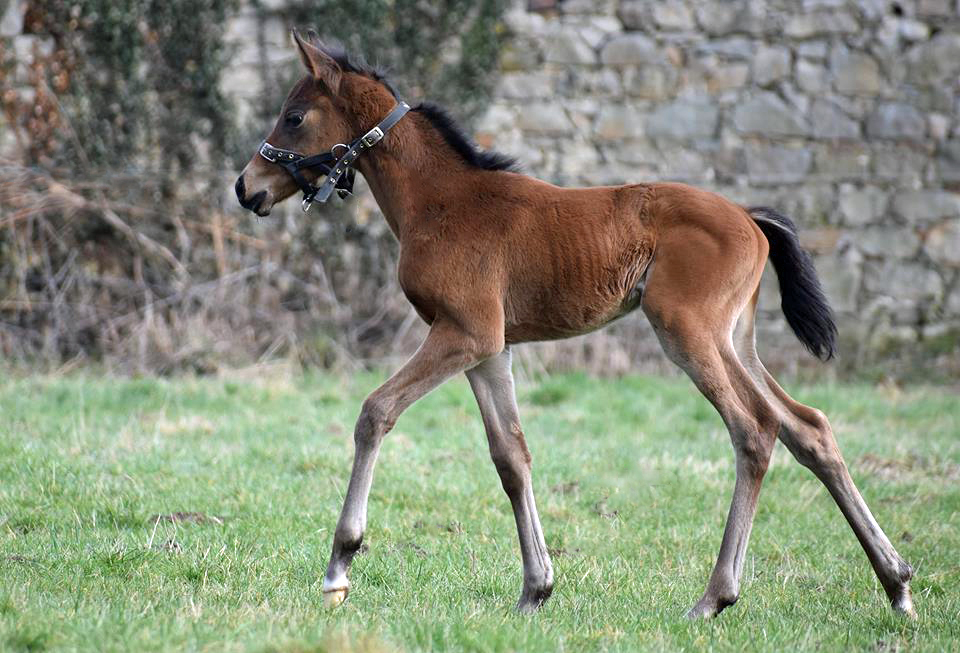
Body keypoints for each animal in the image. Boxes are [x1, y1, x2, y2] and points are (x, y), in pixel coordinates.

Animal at [238, 33, 916, 620]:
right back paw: (898, 585)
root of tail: (751, 219)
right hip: (736, 340)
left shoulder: (463, 334)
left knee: (755, 431)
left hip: (688, 332)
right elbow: (511, 456)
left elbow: (375, 411)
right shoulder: (490, 348)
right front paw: (535, 590)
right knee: (809, 428)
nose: (246, 187)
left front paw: (339, 568)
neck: (440, 200)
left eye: (294, 117)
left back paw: (715, 597)